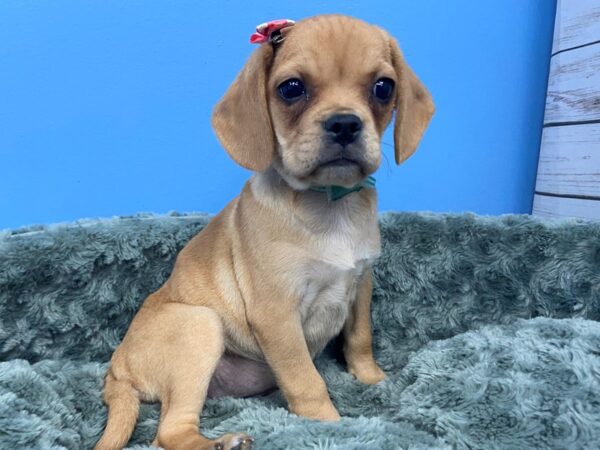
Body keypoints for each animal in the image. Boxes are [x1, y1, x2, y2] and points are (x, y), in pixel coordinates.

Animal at [94, 14, 434, 450]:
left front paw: (373, 379)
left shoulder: (361, 285)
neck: (329, 206)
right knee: (169, 432)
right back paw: (223, 443)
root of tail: (115, 370)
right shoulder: (277, 315)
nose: (344, 124)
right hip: (201, 327)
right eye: (292, 88)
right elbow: (306, 380)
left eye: (383, 87)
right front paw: (331, 425)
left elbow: (361, 339)